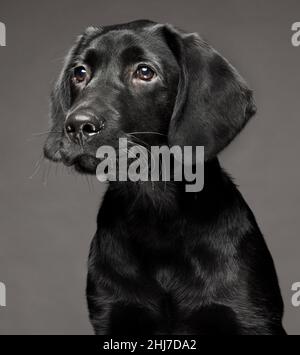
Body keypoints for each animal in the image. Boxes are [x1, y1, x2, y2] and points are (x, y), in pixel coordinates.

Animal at [44, 20, 286, 336]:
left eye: (145, 71)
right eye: (80, 73)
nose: (77, 125)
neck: (156, 211)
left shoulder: (251, 317)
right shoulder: (112, 313)